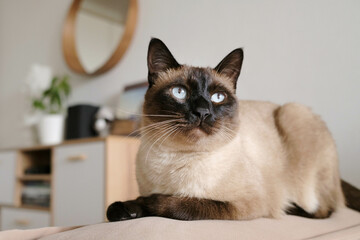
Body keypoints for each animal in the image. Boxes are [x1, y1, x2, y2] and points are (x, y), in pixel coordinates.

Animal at [107, 38, 346, 221]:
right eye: (179, 92)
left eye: (218, 97)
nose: (202, 112)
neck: (176, 158)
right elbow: (122, 206)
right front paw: (124, 210)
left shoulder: (246, 204)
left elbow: (177, 204)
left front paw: (147, 205)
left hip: (293, 112)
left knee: (325, 210)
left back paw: (291, 209)